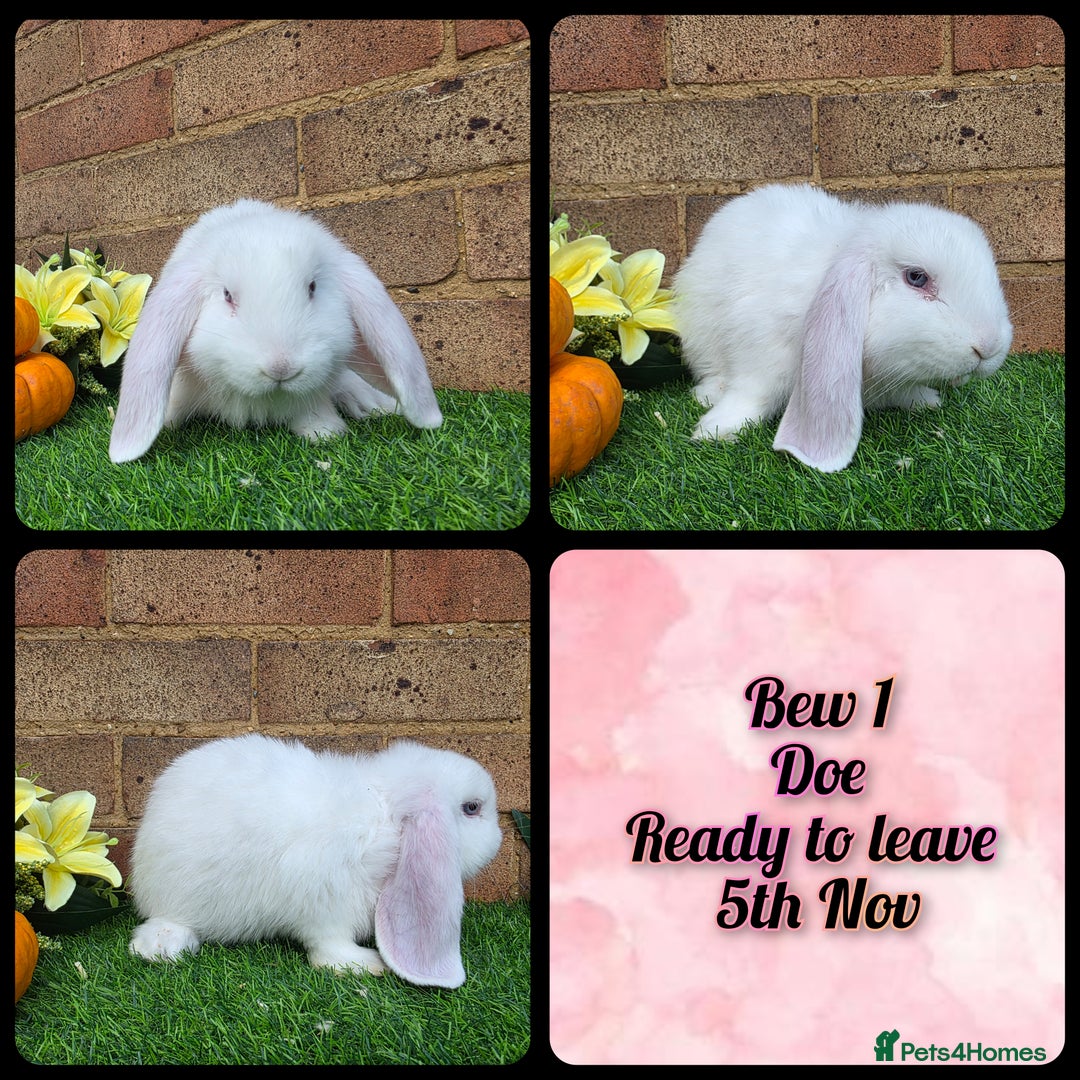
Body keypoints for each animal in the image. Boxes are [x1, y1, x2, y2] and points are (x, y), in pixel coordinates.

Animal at [128, 735, 502, 989]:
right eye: (472, 808)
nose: (499, 840)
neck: (387, 819)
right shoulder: (328, 900)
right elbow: (328, 946)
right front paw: (366, 964)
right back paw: (163, 945)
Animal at [675, 183, 1013, 472]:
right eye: (916, 277)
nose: (989, 347)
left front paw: (925, 401)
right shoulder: (762, 357)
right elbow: (753, 394)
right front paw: (714, 429)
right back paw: (709, 394)